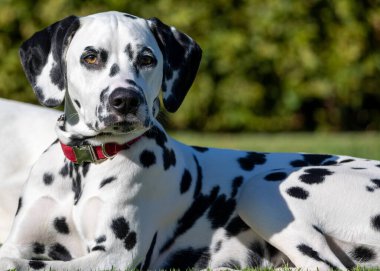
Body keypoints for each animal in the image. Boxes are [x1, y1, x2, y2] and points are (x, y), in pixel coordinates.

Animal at [0, 10, 380, 270]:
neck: (85, 168)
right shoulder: (18, 242)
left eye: (147, 58)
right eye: (90, 57)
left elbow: (29, 264)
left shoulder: (114, 257)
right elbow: (14, 254)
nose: (125, 100)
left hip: (263, 190)